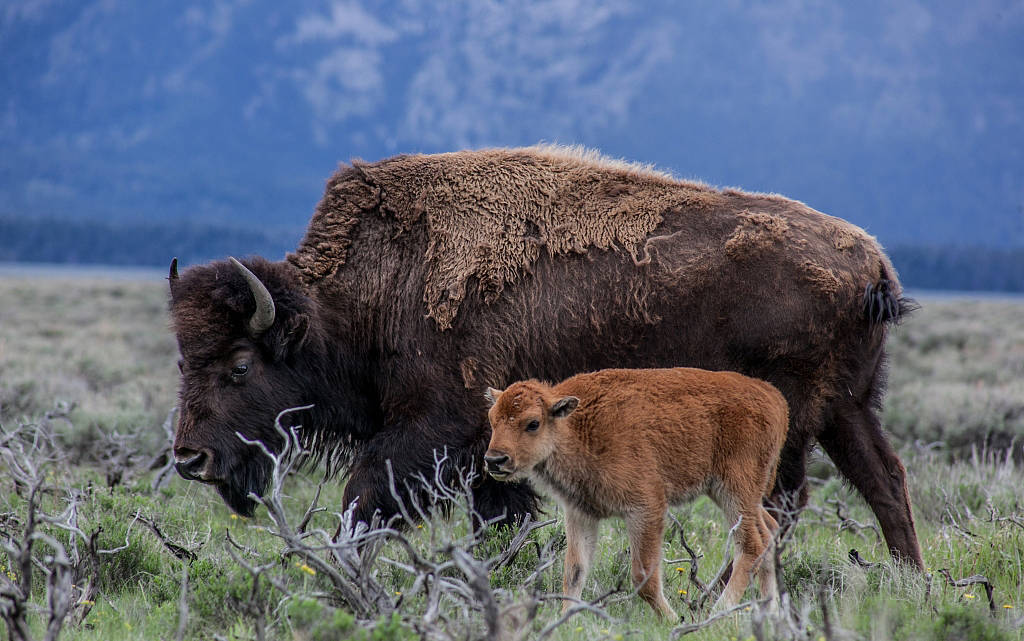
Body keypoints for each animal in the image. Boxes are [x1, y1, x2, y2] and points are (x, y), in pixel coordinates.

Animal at [165, 143, 921, 565]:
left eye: (239, 364)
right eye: (182, 360)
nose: (189, 457)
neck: (371, 291)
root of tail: (872, 264)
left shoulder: (434, 432)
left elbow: (364, 499)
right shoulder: (487, 455)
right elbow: (496, 519)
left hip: (792, 419)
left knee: (784, 503)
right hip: (848, 409)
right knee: (882, 481)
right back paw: (906, 580)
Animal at [483, 366, 786, 618]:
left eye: (532, 423)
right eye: (492, 419)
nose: (494, 460)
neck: (577, 425)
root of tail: (773, 396)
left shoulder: (645, 508)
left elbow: (643, 578)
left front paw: (672, 620)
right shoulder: (581, 513)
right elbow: (574, 571)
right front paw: (565, 619)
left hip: (735, 491)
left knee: (751, 545)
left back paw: (718, 613)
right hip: (739, 495)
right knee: (769, 531)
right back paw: (771, 614)